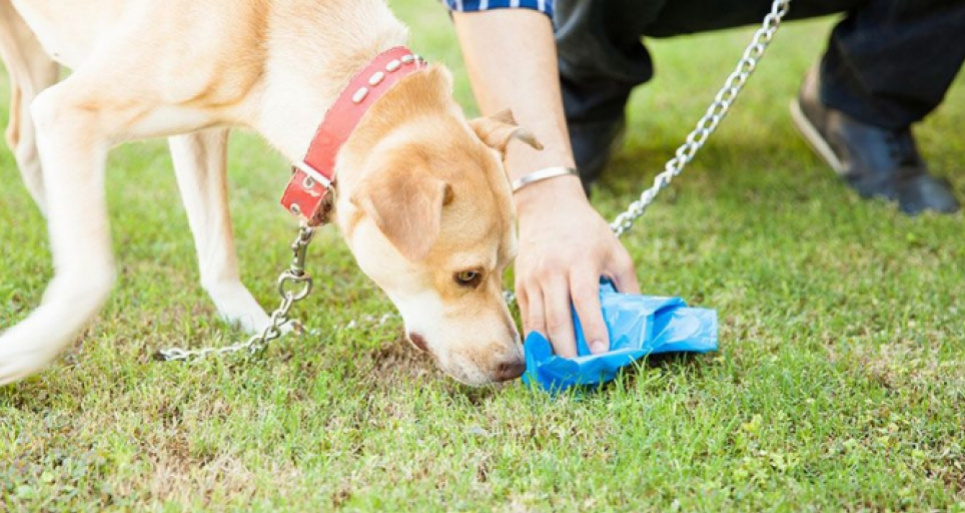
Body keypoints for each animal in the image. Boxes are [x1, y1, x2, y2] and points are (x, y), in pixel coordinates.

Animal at [0, 0, 540, 384]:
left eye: (509, 264)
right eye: (467, 276)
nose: (516, 366)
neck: (270, 28)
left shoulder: (200, 130)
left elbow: (217, 247)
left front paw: (254, 327)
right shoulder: (72, 113)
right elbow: (92, 276)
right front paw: (24, 351)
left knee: (25, 140)